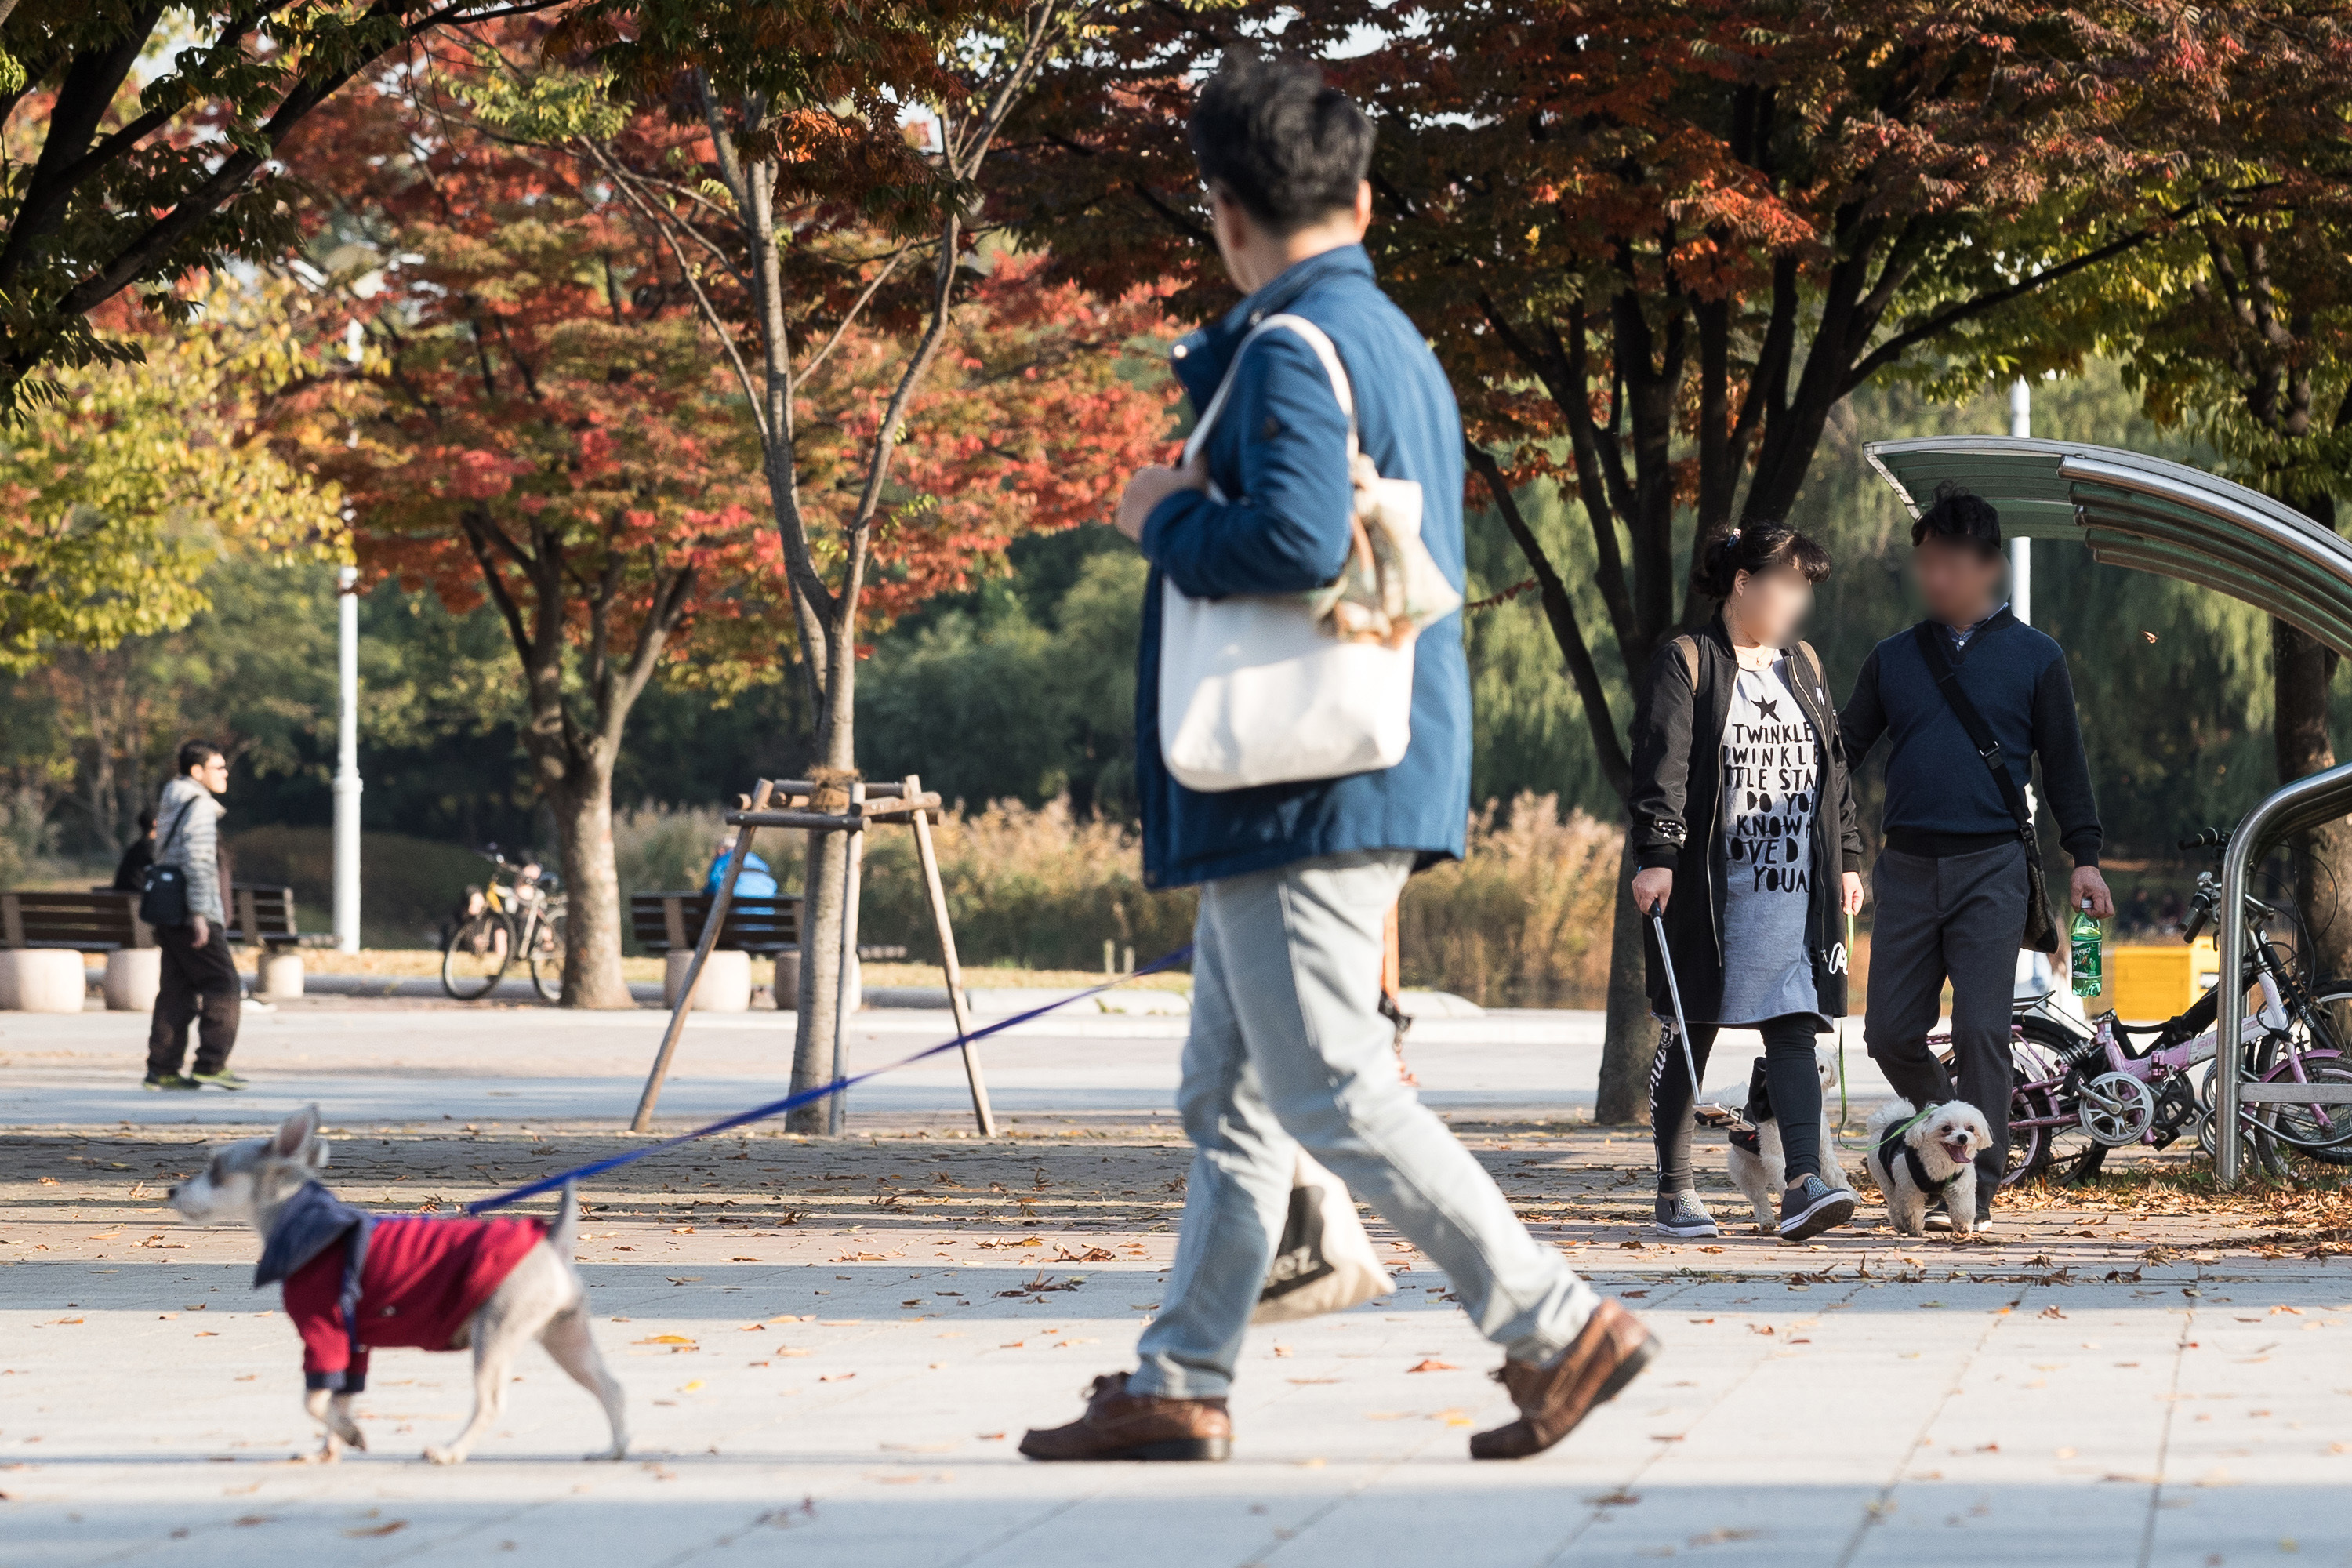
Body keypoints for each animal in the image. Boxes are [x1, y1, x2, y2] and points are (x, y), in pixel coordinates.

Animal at [172, 1109, 630, 1467]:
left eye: (215, 1170)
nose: (172, 1189)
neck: (306, 1224)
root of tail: (552, 1244)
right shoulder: (353, 1346)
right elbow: (338, 1399)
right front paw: (328, 1450)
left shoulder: (325, 1335)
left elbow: (314, 1402)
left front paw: (350, 1435)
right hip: (565, 1337)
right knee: (611, 1387)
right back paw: (613, 1451)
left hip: (497, 1333)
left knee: (490, 1404)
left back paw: (450, 1452)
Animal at [1722, 1048, 1844, 1232]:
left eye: (1822, 1068)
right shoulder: (1775, 1155)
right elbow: (1784, 1178)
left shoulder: (1823, 1148)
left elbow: (1833, 1171)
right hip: (1746, 1173)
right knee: (1759, 1199)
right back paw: (1766, 1221)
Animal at [1863, 1100, 1994, 1241]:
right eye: (1946, 1128)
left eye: (1971, 1128)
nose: (1963, 1137)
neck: (1942, 1164)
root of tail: (1889, 1122)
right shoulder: (1909, 1189)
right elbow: (1912, 1212)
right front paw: (1914, 1230)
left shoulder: (1960, 1187)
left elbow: (1963, 1208)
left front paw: (1963, 1228)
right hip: (1886, 1180)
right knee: (1894, 1204)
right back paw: (1900, 1224)